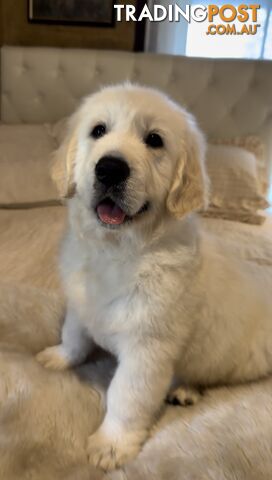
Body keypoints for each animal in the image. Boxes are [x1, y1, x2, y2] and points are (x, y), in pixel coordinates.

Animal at [37, 84, 272, 470]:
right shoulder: (80, 303)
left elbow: (126, 396)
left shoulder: (147, 349)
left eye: (154, 140)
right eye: (98, 130)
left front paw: (112, 444)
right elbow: (74, 334)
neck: (118, 250)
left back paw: (186, 389)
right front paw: (59, 356)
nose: (110, 169)